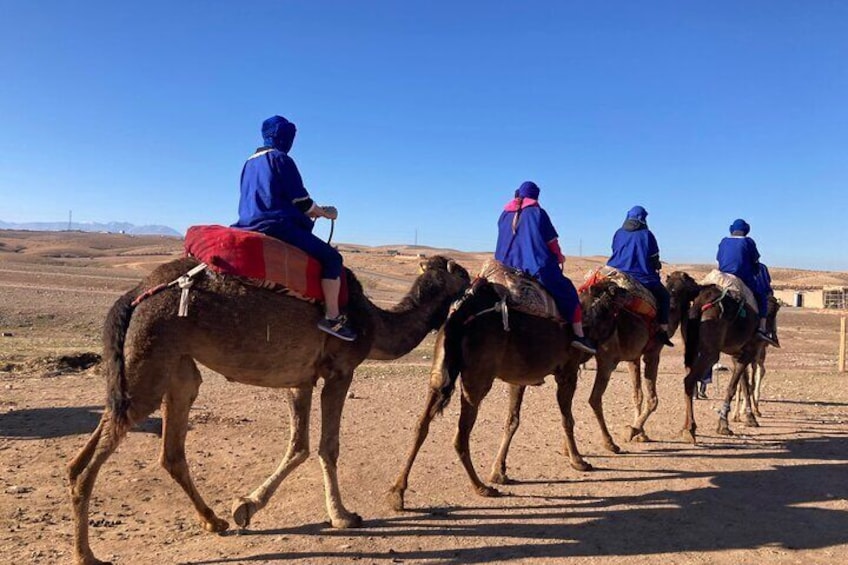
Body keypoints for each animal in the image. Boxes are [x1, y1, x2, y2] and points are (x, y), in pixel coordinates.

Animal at [66, 254, 470, 564]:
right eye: (461, 273)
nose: (475, 282)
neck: (373, 322)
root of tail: (134, 294)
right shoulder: (340, 370)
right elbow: (327, 447)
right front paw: (343, 516)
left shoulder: (300, 379)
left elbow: (299, 447)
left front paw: (245, 507)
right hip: (151, 354)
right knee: (97, 457)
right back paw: (86, 555)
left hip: (174, 365)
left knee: (160, 448)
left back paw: (213, 521)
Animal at [388, 278, 628, 512]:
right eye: (617, 293)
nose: (627, 292)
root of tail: (459, 319)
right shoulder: (567, 372)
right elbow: (567, 419)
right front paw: (578, 461)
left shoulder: (518, 380)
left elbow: (512, 421)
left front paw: (499, 472)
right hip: (477, 380)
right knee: (460, 435)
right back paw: (481, 487)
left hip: (439, 374)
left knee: (422, 425)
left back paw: (397, 494)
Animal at [480, 270, 700, 482]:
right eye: (690, 280)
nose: (700, 286)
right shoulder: (651, 352)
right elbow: (652, 399)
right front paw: (632, 431)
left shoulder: (633, 358)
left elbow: (637, 395)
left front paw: (639, 432)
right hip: (605, 360)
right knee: (594, 398)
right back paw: (607, 444)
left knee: (516, 415)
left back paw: (500, 471)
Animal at [680, 276, 764, 442]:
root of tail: (700, 302)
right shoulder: (748, 352)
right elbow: (734, 387)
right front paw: (724, 424)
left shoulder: (737, 354)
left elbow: (744, 384)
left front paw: (750, 418)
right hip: (711, 352)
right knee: (689, 380)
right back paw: (690, 429)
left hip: (690, 346)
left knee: (688, 378)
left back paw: (687, 427)